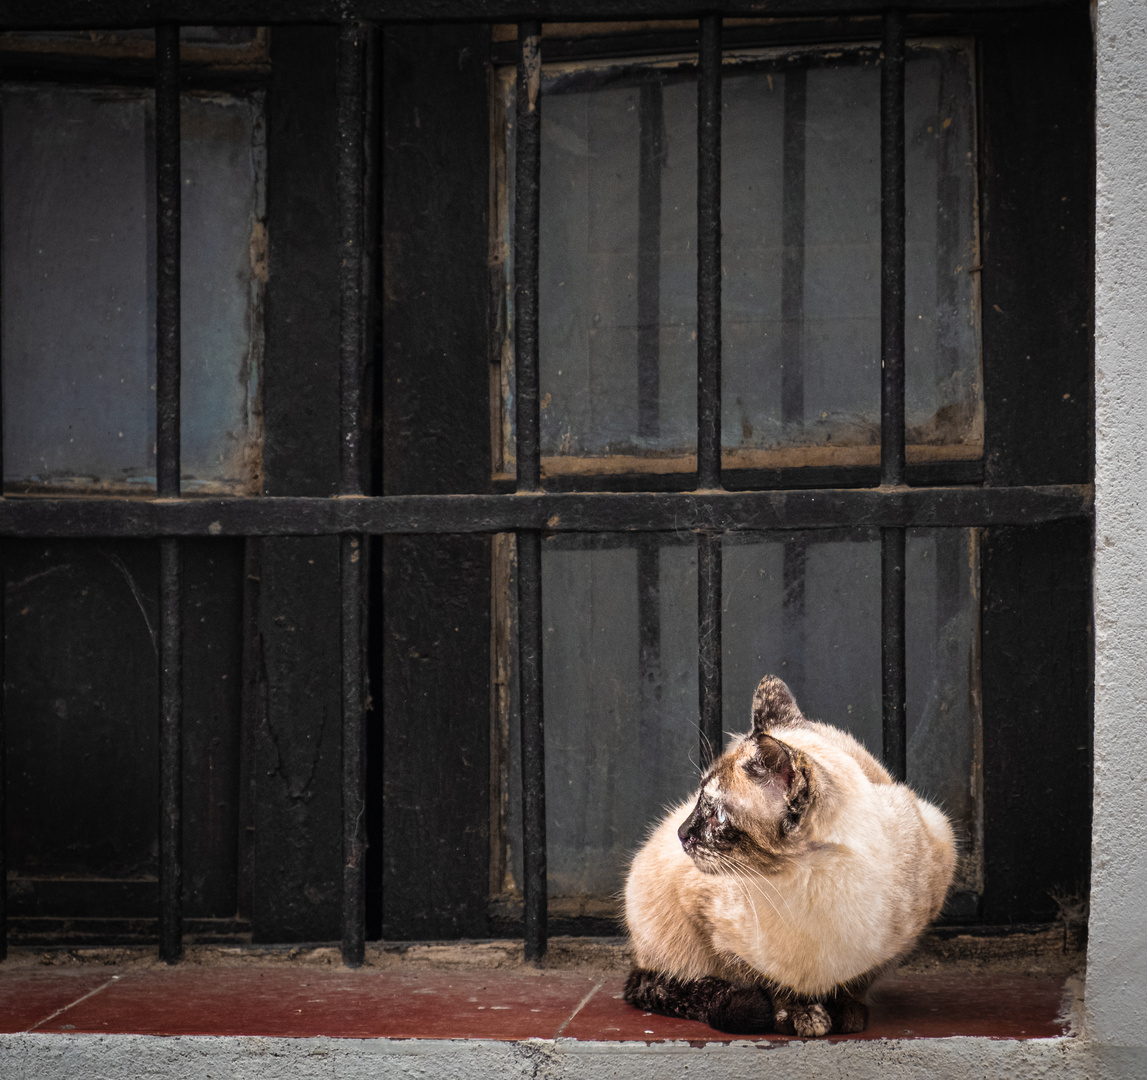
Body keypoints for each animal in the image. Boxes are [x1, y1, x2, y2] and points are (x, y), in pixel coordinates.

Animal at [623, 678, 954, 1041]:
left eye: (718, 816)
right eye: (697, 801)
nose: (681, 833)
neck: (815, 888)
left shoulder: (903, 936)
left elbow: (855, 982)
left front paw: (845, 1014)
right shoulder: (713, 925)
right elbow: (768, 982)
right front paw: (799, 1016)